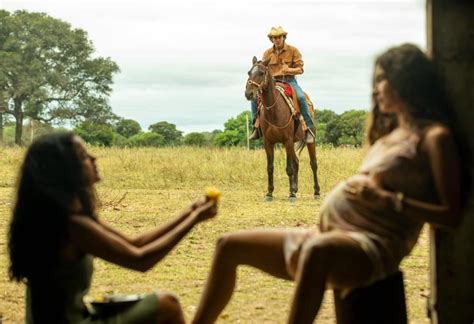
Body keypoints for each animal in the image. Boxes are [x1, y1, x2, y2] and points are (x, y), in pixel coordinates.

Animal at [246, 57, 320, 201]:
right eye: (249, 72)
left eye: (262, 73)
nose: (249, 93)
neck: (274, 110)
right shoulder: (268, 143)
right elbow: (270, 167)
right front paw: (269, 193)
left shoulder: (287, 141)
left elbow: (289, 168)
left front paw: (291, 194)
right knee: (297, 162)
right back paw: (295, 188)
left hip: (309, 141)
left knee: (313, 163)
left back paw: (316, 191)